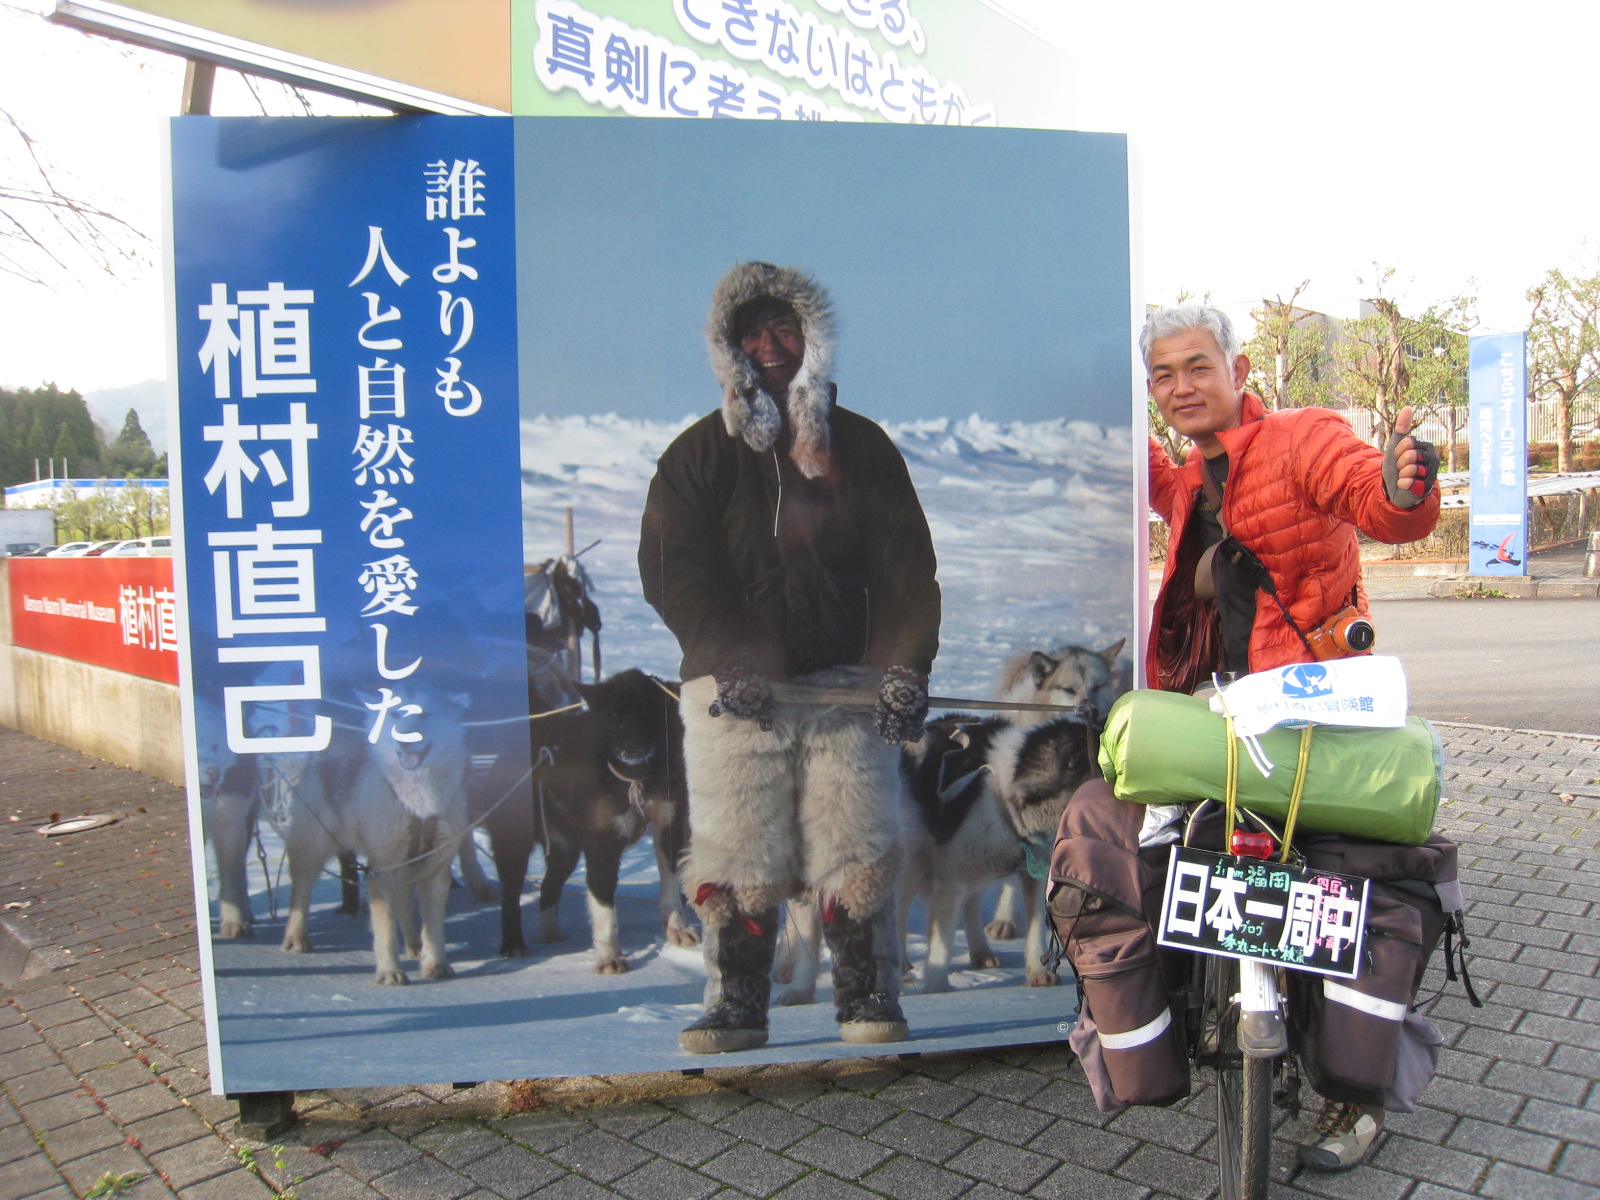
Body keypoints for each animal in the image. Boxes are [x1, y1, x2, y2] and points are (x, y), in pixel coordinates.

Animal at [281, 684, 473, 985]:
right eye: (395, 715)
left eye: (425, 713)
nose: (404, 740)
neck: (418, 803)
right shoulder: (379, 869)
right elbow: (385, 929)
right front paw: (389, 970)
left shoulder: (435, 871)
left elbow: (433, 929)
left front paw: (435, 962)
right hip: (311, 851)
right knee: (300, 895)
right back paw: (295, 938)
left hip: (403, 867)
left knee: (404, 904)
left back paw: (414, 946)